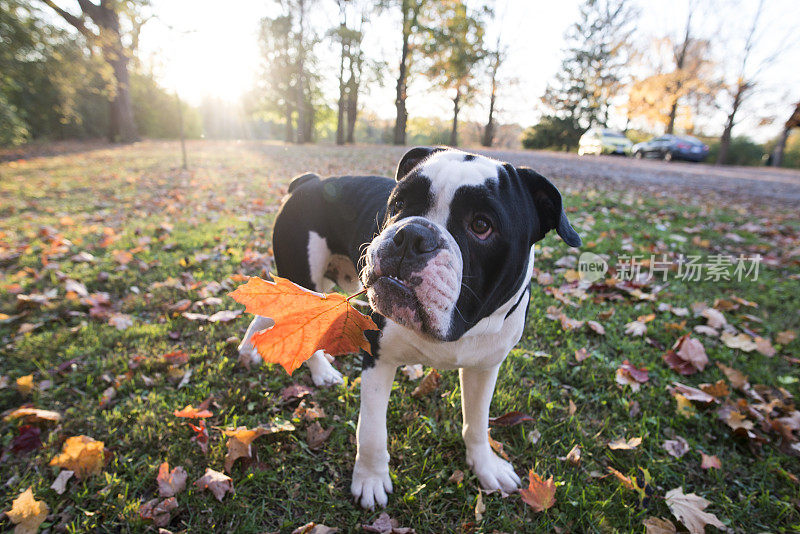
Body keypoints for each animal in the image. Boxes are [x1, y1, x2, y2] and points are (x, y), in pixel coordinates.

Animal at [238, 147, 580, 510]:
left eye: (482, 225)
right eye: (399, 204)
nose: (413, 234)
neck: (456, 330)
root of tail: (310, 181)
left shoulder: (485, 368)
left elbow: (477, 422)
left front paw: (485, 466)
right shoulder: (378, 358)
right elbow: (371, 431)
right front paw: (371, 479)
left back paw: (249, 350)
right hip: (305, 280)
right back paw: (319, 371)